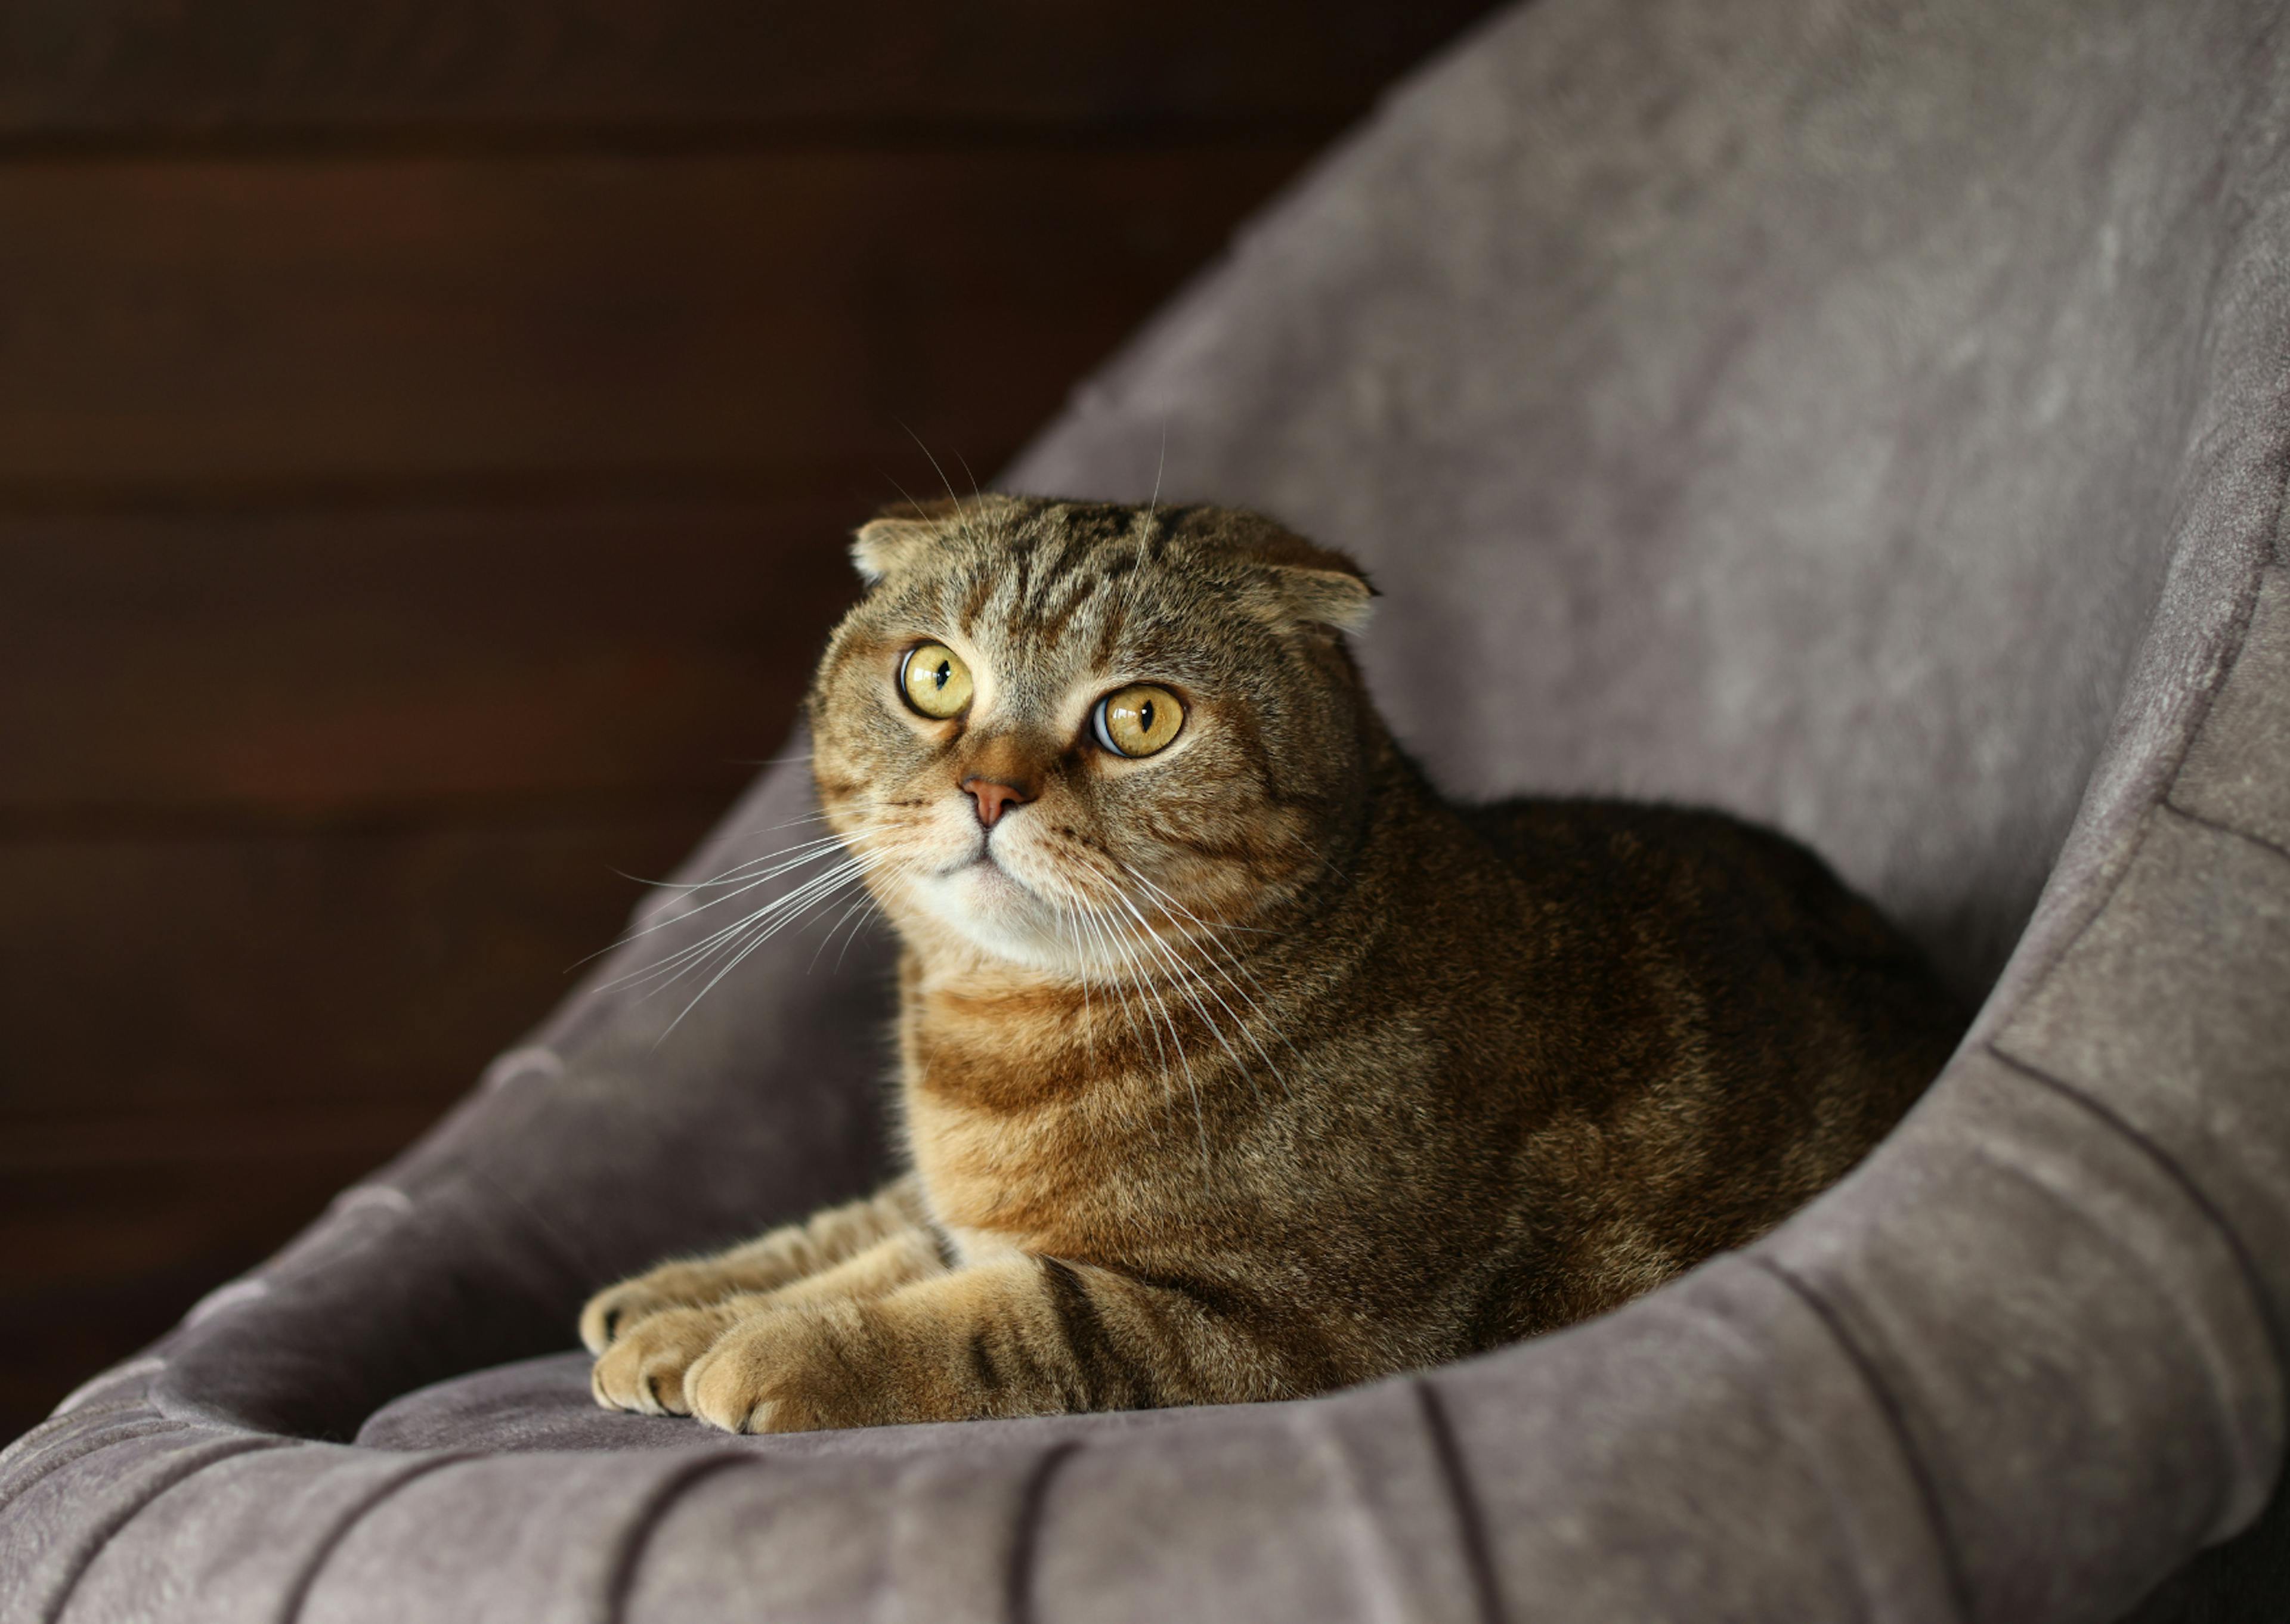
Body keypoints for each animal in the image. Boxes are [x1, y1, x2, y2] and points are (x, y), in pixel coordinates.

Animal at [581, 494, 1960, 1429]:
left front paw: (770, 1346)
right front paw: (688, 1303)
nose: (988, 788)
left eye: (1139, 718)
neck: (996, 1049)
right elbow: (886, 1227)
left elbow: (1000, 1320)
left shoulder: (1279, 1324)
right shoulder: (956, 1204)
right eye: (933, 675)